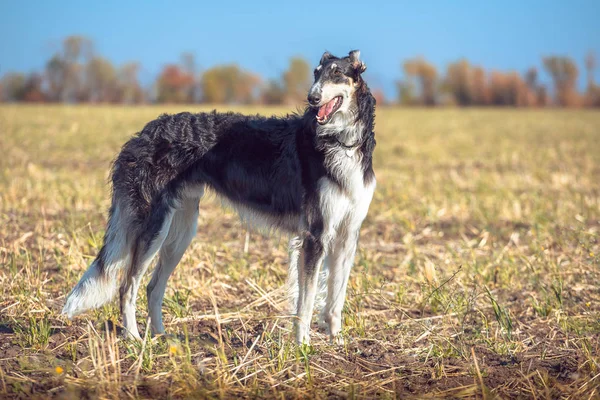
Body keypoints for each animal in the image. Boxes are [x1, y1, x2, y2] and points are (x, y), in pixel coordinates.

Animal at [61, 49, 376, 344]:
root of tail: (143, 134)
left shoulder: (347, 234)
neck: (340, 143)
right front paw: (303, 346)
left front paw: (337, 341)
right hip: (153, 228)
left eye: (337, 74)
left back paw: (162, 338)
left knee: (152, 287)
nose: (312, 98)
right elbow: (306, 302)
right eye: (316, 73)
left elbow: (335, 299)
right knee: (127, 286)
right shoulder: (314, 235)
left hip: (180, 231)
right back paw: (134, 339)